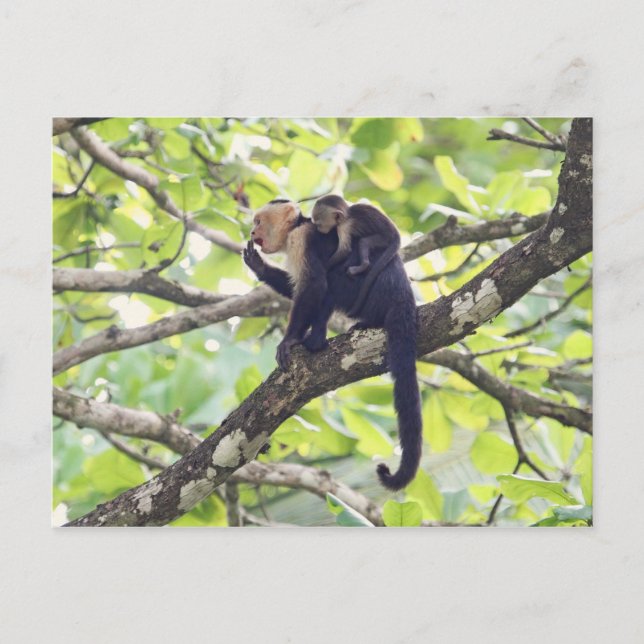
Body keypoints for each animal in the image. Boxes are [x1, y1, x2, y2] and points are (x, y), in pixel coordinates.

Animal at [244, 199, 422, 491]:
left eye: (258, 221)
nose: (251, 232)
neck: (296, 228)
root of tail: (404, 295)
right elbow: (298, 288)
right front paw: (259, 266)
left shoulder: (301, 240)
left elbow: (313, 286)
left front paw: (290, 340)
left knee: (334, 280)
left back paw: (315, 341)